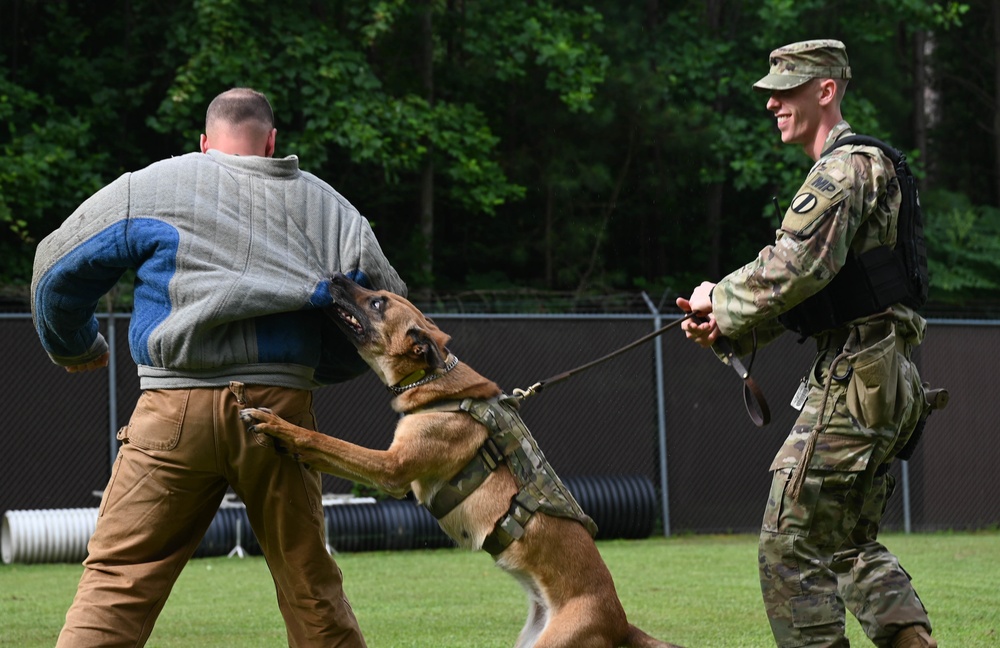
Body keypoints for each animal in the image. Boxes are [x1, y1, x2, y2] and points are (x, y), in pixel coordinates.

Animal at [238, 274, 684, 648]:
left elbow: (325, 442)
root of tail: (621, 623)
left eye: (379, 302)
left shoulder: (391, 469)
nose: (334, 276)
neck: (435, 385)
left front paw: (275, 424)